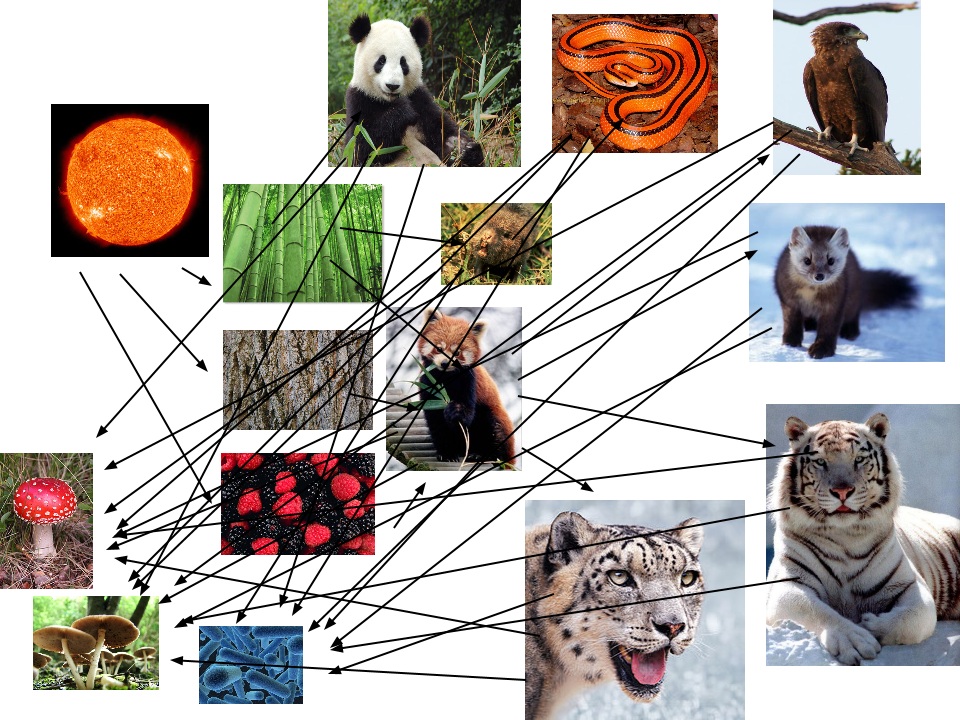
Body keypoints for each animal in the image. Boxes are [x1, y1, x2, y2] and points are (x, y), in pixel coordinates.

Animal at [346, 14, 484, 167]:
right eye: (381, 61)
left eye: (403, 62)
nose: (392, 85)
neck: (387, 101)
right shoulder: (360, 100)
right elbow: (363, 148)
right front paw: (403, 111)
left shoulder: (420, 100)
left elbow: (445, 137)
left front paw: (468, 150)